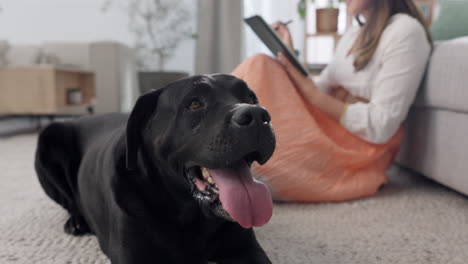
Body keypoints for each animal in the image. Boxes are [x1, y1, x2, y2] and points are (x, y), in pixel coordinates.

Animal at [37, 74, 278, 264]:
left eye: (251, 98)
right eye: (194, 104)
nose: (258, 116)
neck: (188, 215)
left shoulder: (247, 250)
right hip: (48, 141)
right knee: (69, 201)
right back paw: (76, 221)